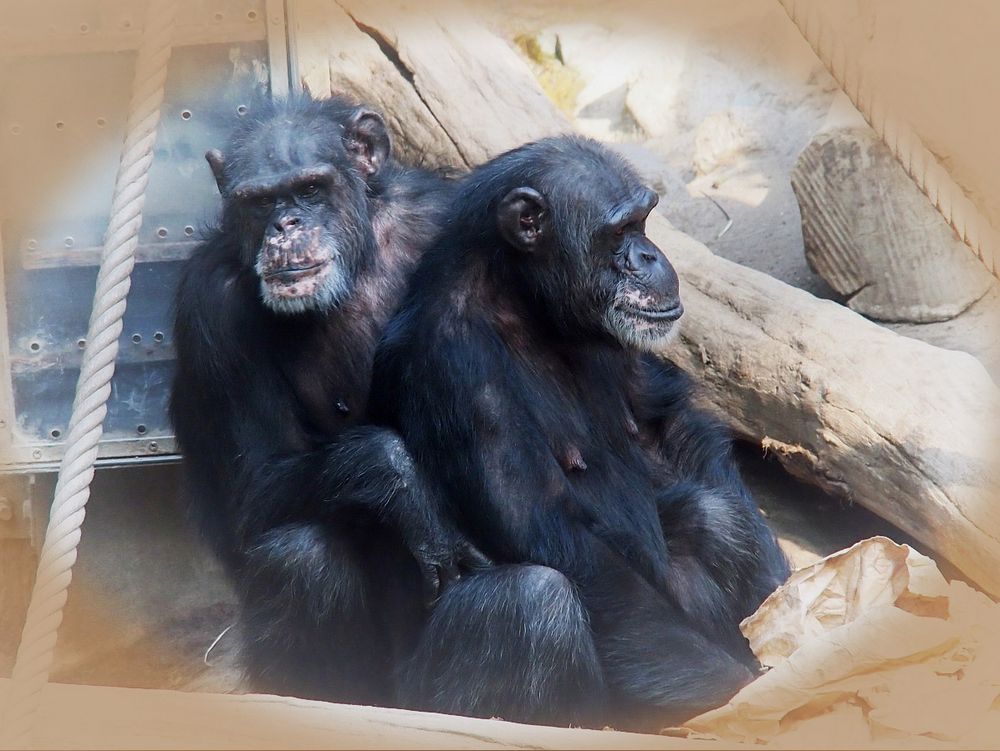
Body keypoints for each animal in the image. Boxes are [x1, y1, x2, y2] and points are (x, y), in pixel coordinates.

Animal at [171, 94, 484, 704]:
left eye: (310, 189)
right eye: (260, 201)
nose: (286, 225)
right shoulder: (210, 310)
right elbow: (255, 484)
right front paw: (396, 477)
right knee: (301, 558)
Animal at [372, 134, 792, 728]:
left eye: (644, 221)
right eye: (618, 231)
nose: (648, 255)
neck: (528, 307)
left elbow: (664, 426)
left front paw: (785, 607)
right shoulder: (458, 367)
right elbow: (552, 534)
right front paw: (742, 698)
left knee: (713, 514)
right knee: (533, 601)